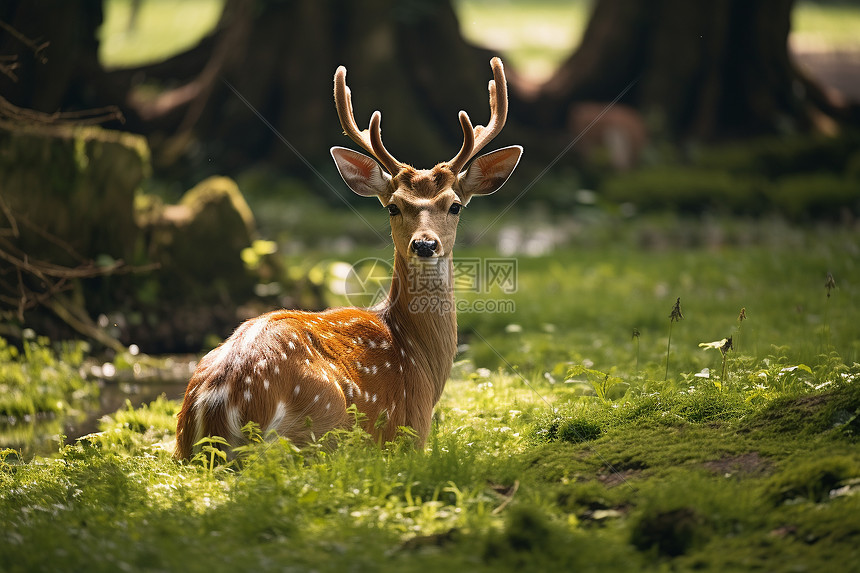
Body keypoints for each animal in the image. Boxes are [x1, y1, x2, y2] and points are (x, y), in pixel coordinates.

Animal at [175, 58, 520, 458]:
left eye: (455, 205)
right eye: (393, 207)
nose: (425, 245)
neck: (417, 356)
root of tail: (217, 409)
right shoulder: (411, 434)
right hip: (320, 426)